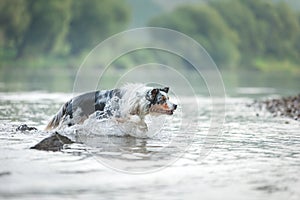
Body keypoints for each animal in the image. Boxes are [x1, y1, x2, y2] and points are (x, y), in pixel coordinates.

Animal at [45, 83, 177, 130]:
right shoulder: (111, 114)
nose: (175, 105)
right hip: (72, 120)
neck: (138, 101)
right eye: (162, 99)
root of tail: (69, 101)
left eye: (168, 98)